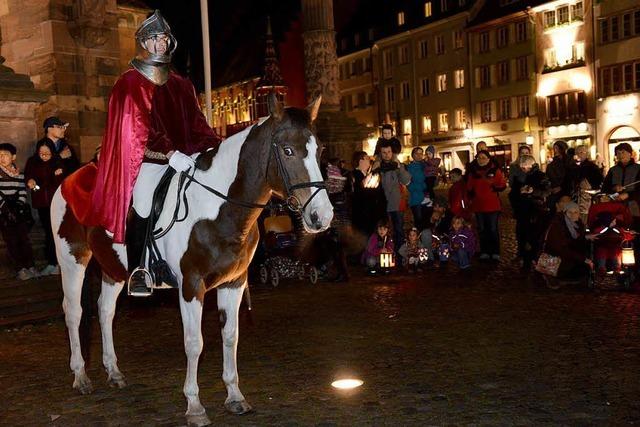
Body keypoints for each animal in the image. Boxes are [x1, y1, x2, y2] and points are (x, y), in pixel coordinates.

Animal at [50, 95, 336, 426]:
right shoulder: (191, 285)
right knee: (74, 311)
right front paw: (195, 406)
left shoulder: (234, 283)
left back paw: (114, 372)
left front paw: (235, 397)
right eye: (288, 150)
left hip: (115, 266)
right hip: (72, 259)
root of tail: (69, 180)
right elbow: (194, 343)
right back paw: (81, 376)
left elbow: (230, 337)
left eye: (320, 150)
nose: (321, 216)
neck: (218, 208)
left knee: (105, 310)